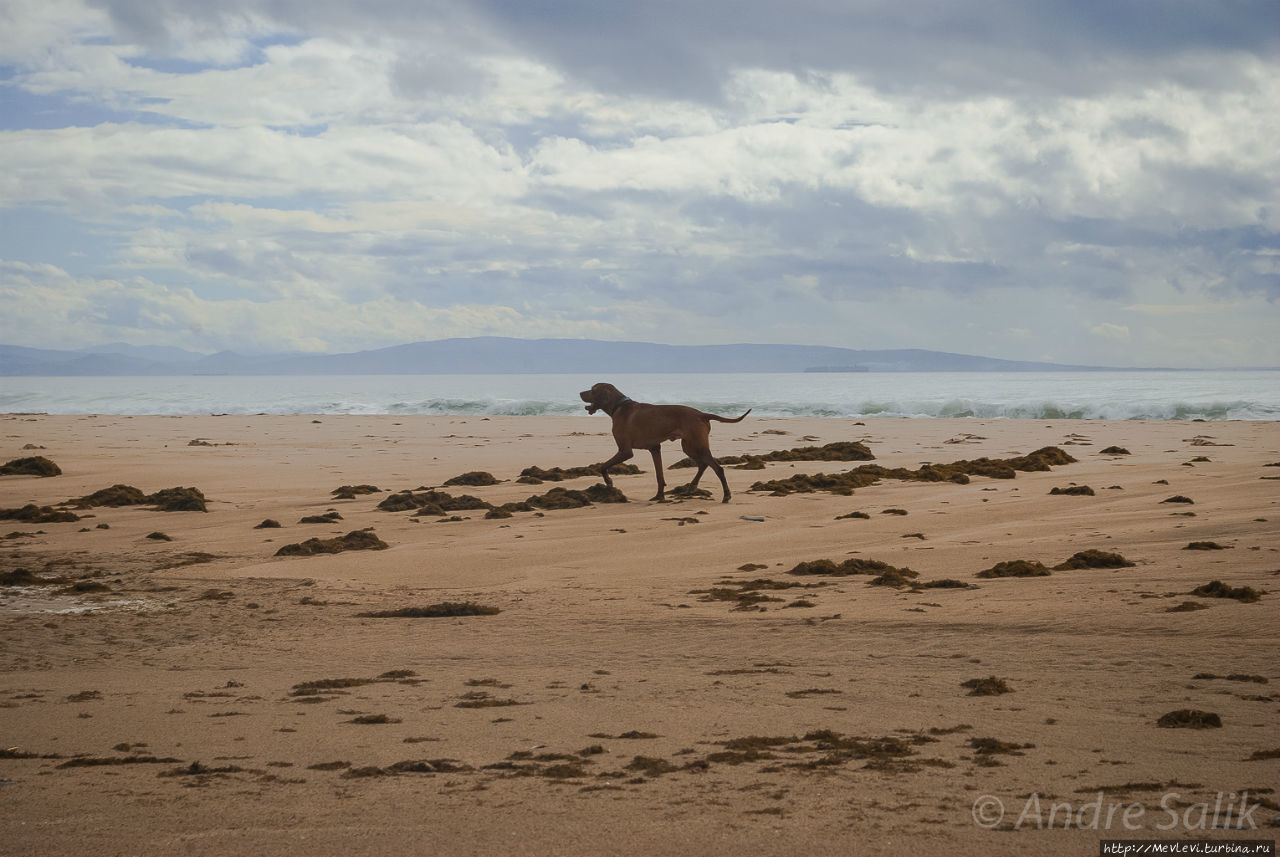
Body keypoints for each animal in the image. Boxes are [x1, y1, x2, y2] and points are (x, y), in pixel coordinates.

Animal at [581, 383, 747, 503]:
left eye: (593, 390)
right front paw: (659, 496)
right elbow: (659, 475)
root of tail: (702, 414)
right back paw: (692, 486)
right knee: (703, 464)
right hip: (689, 446)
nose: (580, 393)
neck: (619, 406)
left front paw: (608, 481)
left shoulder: (625, 451)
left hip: (697, 445)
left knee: (718, 468)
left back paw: (726, 495)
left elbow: (603, 466)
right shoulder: (655, 448)